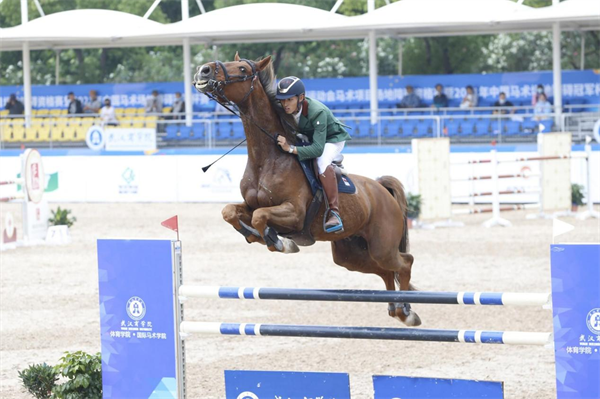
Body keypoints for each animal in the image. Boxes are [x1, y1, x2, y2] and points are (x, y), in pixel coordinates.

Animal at [195, 53, 420, 326]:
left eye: (241, 69)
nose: (204, 70)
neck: (268, 157)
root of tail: (382, 191)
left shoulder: (294, 213)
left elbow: (261, 218)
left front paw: (280, 242)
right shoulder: (250, 205)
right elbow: (230, 212)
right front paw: (255, 235)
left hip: (382, 245)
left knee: (404, 263)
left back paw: (407, 311)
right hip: (351, 254)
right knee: (386, 271)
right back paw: (397, 308)